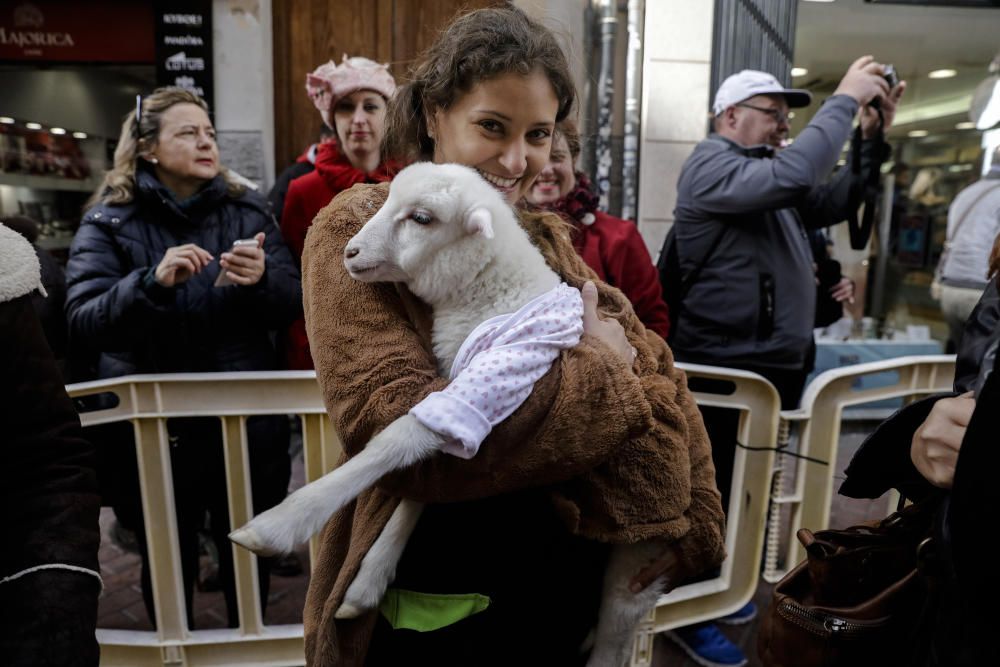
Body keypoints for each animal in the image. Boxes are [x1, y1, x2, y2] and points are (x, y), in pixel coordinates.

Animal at [231, 163, 668, 667]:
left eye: (422, 218)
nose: (350, 252)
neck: (491, 291)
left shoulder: (500, 376)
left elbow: (394, 440)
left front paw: (278, 525)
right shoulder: (459, 399)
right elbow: (422, 487)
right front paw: (368, 582)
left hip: (638, 558)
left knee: (617, 627)